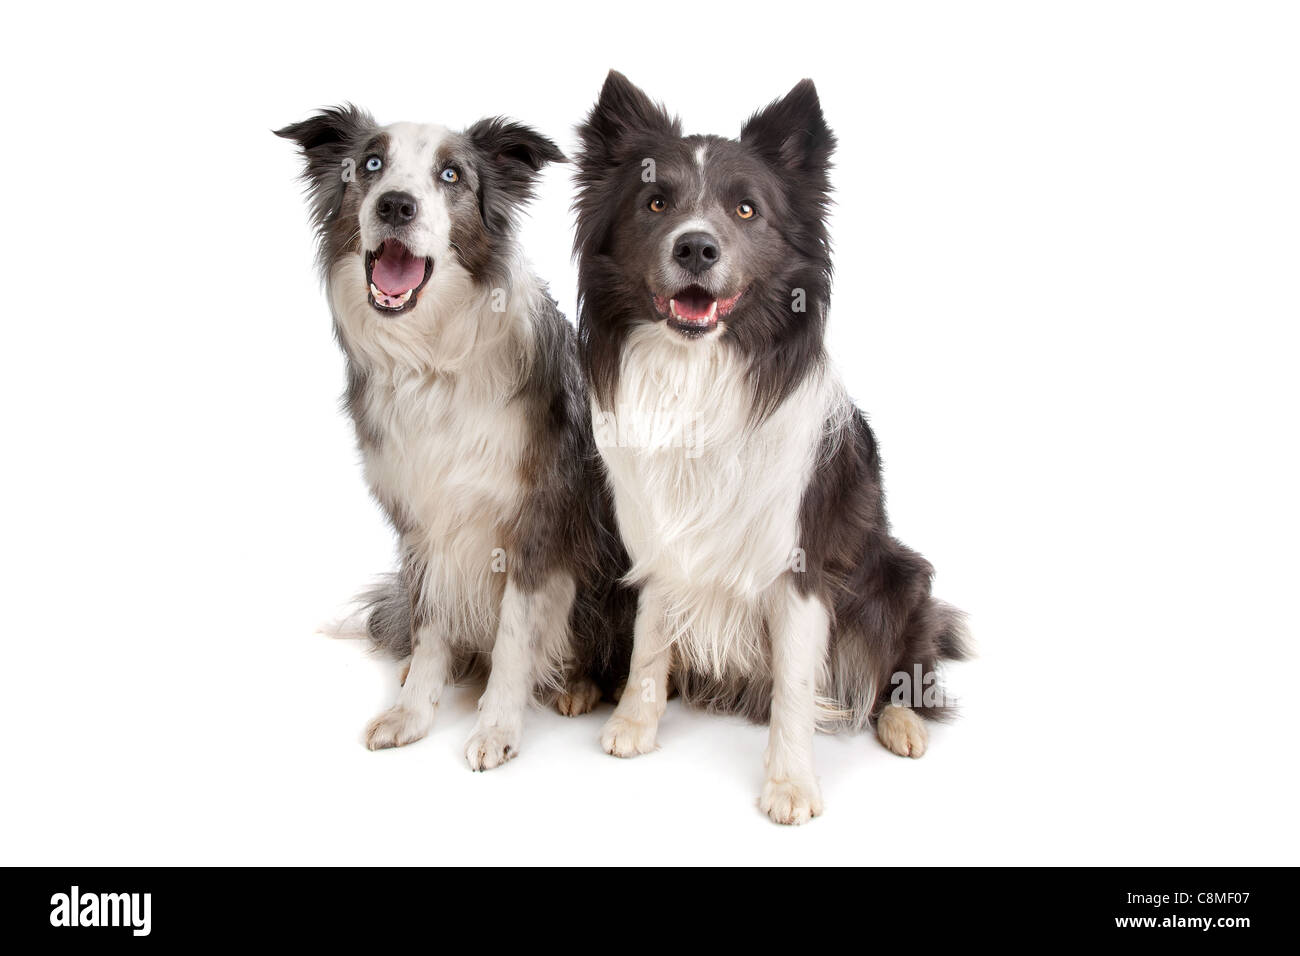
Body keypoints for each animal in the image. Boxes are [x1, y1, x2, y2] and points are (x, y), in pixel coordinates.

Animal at [279, 106, 634, 770]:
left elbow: (517, 637)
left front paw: (496, 729)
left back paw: (575, 686)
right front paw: (412, 711)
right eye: (371, 164)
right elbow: (428, 625)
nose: (395, 205)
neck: (431, 358)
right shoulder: (420, 524)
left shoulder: (533, 523)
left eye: (451, 176)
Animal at [574, 74, 972, 822]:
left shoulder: (800, 562)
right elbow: (648, 642)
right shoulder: (662, 538)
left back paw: (903, 721)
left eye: (747, 209)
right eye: (656, 202)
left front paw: (790, 784)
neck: (699, 372)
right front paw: (634, 724)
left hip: (899, 574)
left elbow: (793, 685)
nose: (696, 248)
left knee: (906, 661)